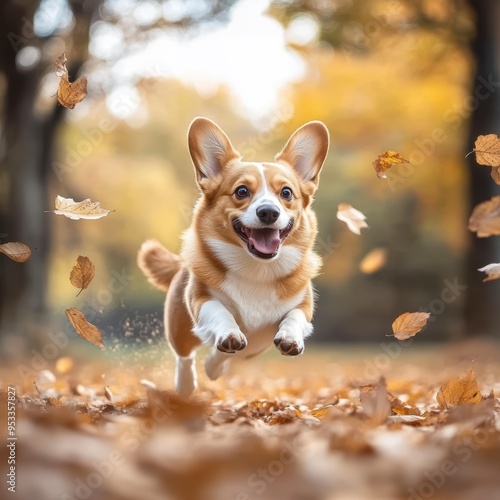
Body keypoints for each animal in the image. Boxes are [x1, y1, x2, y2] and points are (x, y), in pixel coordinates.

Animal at [137, 117, 330, 394]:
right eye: (241, 191)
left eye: (286, 193)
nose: (268, 212)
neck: (257, 269)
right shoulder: (201, 298)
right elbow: (220, 312)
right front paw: (229, 333)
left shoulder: (302, 305)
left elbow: (294, 316)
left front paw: (290, 338)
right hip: (179, 326)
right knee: (186, 355)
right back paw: (186, 384)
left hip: (253, 349)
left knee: (230, 355)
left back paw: (215, 366)